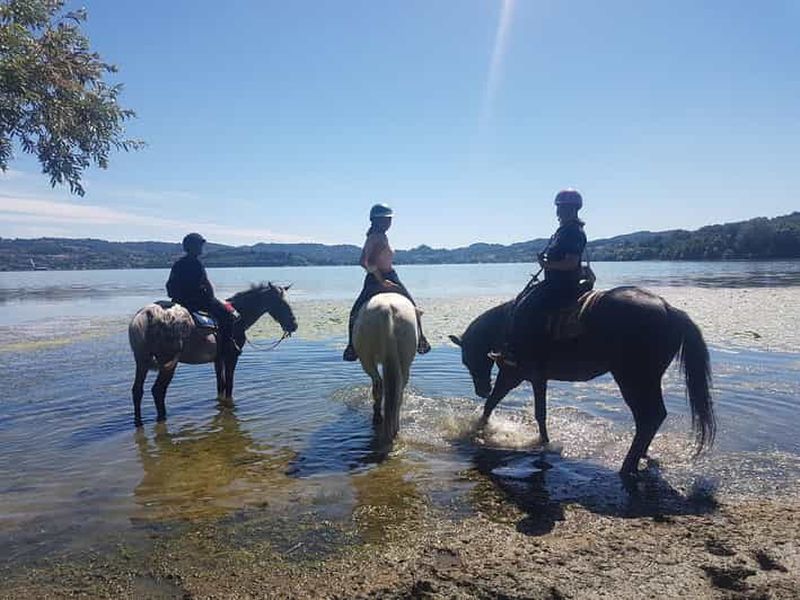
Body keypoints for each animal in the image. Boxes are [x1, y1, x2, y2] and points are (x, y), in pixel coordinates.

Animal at [128, 282, 298, 427]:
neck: (239, 316)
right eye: (280, 303)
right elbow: (229, 384)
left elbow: (220, 384)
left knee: (137, 391)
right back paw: (162, 418)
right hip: (168, 364)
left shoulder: (218, 359)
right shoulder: (231, 357)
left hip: (141, 362)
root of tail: (146, 314)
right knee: (158, 391)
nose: (294, 325)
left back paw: (139, 422)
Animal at [353, 292, 418, 442]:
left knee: (379, 384)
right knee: (397, 391)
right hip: (404, 360)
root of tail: (386, 310)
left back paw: (378, 417)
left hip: (367, 360)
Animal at [448, 286, 715, 475]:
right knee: (653, 417)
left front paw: (478, 429)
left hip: (633, 380)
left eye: (468, 359)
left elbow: (493, 404)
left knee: (649, 417)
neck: (507, 323)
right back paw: (640, 456)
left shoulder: (512, 375)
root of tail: (669, 309)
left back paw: (627, 465)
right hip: (647, 380)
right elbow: (539, 413)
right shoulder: (538, 378)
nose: (481, 389)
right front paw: (543, 441)